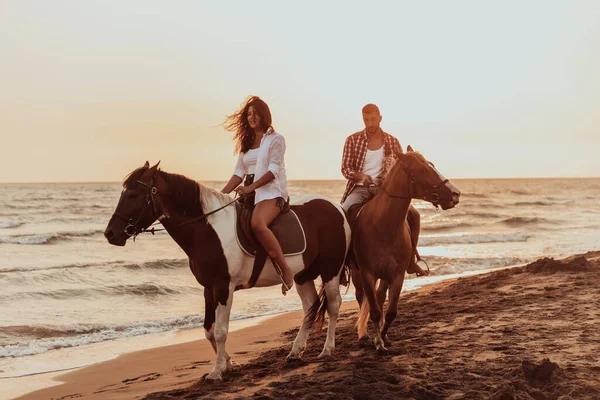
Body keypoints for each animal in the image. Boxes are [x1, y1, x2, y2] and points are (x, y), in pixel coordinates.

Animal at [104, 162, 352, 378]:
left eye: (133, 195)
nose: (110, 234)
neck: (207, 230)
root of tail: (337, 208)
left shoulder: (224, 287)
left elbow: (221, 331)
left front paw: (216, 372)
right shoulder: (208, 288)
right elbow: (209, 330)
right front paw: (229, 364)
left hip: (331, 270)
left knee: (333, 305)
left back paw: (327, 350)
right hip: (302, 275)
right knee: (311, 305)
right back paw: (295, 351)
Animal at [350, 147, 462, 350]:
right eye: (423, 170)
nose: (455, 194)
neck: (383, 225)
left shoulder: (397, 275)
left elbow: (391, 312)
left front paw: (383, 337)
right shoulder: (367, 273)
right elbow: (374, 310)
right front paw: (378, 342)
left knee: (379, 296)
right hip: (356, 273)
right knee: (361, 297)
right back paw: (364, 335)